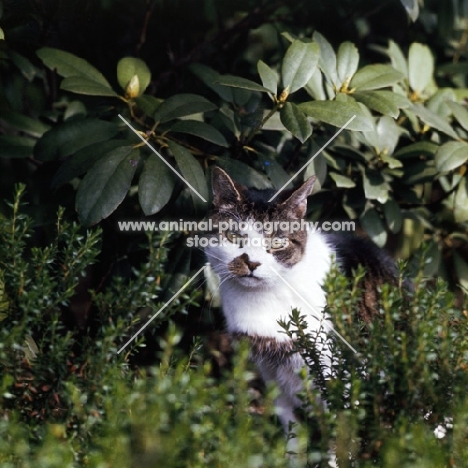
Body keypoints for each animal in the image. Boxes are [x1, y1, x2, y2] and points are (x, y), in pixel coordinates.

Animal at [204, 168, 402, 438]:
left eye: (278, 242)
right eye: (233, 236)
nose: (251, 263)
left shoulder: (336, 373)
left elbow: (339, 431)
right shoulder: (271, 371)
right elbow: (292, 427)